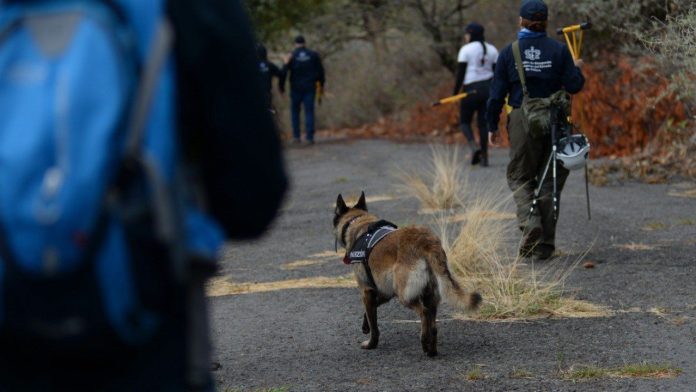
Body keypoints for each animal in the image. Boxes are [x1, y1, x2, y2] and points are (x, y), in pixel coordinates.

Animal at [334, 191, 482, 356]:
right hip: (429, 295)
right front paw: (365, 326)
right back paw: (431, 349)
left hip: (404, 295)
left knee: (424, 313)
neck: (359, 221)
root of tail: (427, 242)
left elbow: (374, 325)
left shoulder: (367, 291)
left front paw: (371, 343)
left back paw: (424, 341)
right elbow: (371, 311)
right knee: (433, 324)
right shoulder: (385, 292)